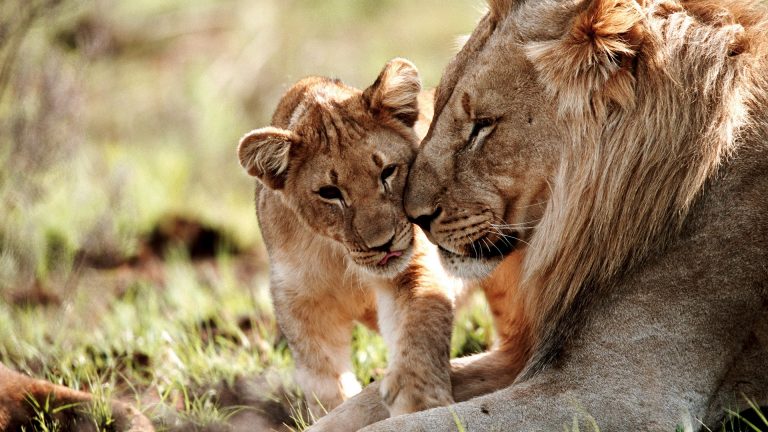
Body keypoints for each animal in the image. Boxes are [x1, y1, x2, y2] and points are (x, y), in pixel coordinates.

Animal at [310, 0, 768, 430]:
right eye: (436, 104)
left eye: (482, 125)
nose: (415, 216)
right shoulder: (524, 358)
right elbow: (368, 401)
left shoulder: (617, 396)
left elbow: (411, 424)